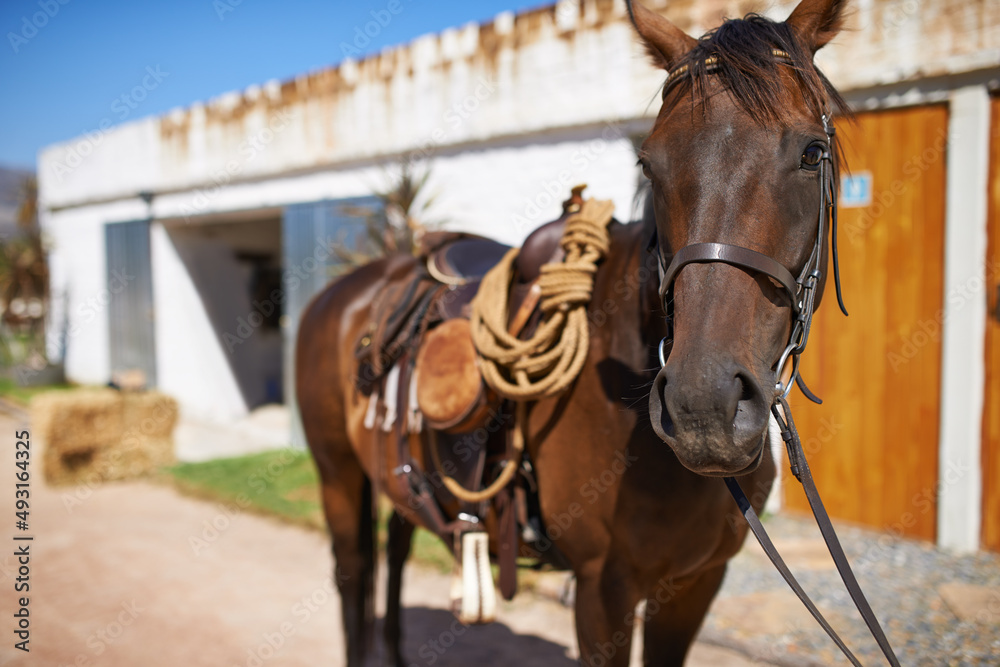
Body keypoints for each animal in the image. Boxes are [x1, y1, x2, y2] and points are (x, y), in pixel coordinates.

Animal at [298, 0, 852, 664]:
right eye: (649, 164)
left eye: (812, 151)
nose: (703, 406)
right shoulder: (601, 592)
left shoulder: (694, 585)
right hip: (337, 476)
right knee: (354, 574)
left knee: (397, 551)